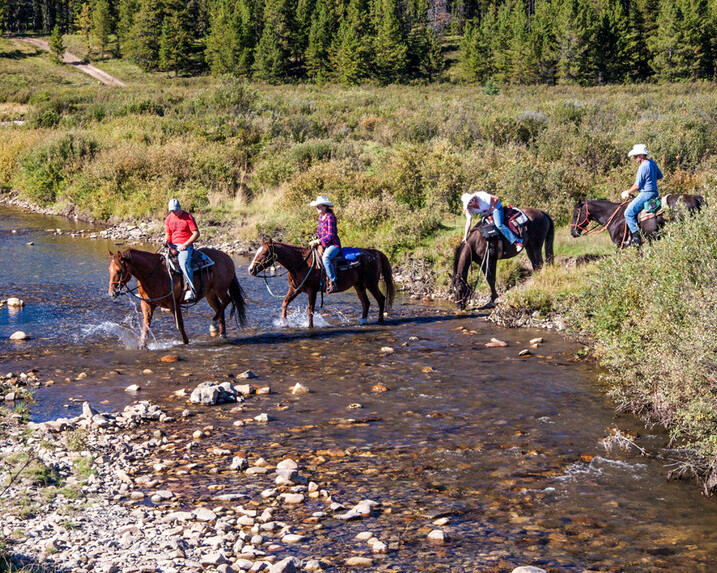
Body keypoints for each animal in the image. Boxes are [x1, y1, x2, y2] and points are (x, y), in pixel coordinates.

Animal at [108, 246, 246, 344]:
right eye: (109, 270)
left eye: (119, 271)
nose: (112, 293)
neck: (154, 274)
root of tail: (227, 257)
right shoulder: (147, 304)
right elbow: (145, 327)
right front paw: (142, 346)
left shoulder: (173, 304)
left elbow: (180, 325)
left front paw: (186, 342)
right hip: (209, 294)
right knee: (218, 307)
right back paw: (221, 333)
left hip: (220, 289)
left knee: (227, 300)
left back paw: (213, 326)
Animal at [248, 237, 394, 326]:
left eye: (264, 253)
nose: (250, 270)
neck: (300, 263)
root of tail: (375, 253)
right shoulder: (295, 289)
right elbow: (285, 303)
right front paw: (284, 323)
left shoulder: (312, 291)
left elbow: (310, 311)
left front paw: (310, 327)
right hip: (359, 285)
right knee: (366, 302)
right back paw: (363, 321)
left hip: (371, 283)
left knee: (380, 298)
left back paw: (380, 320)